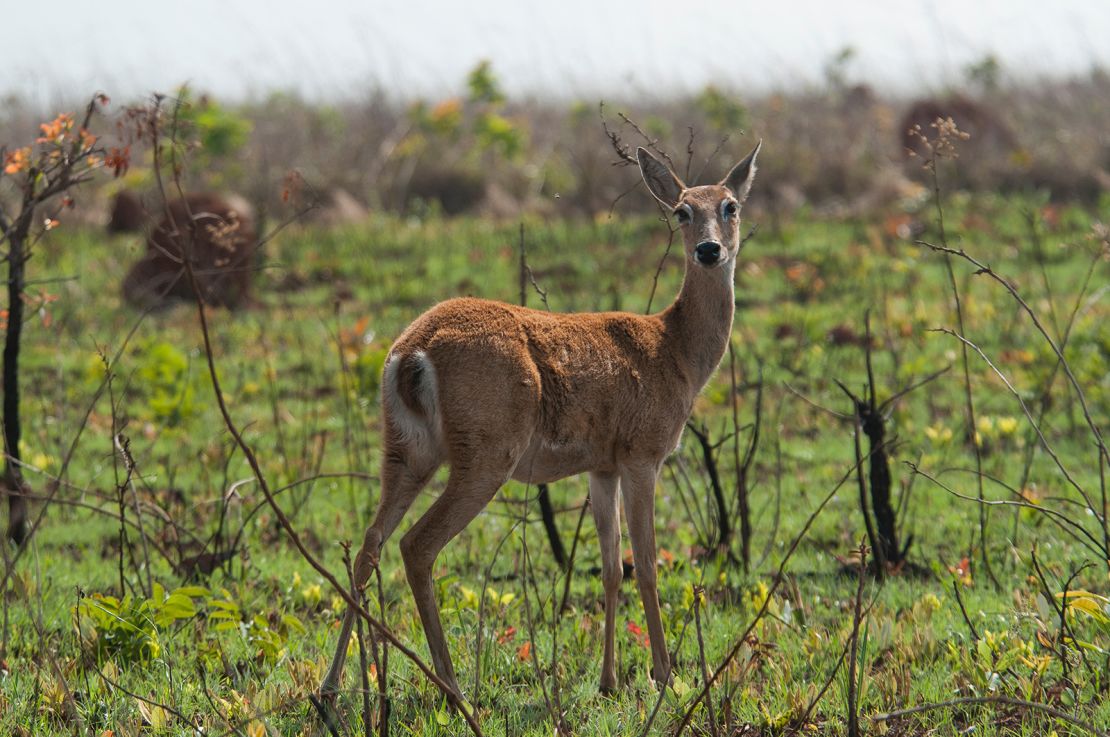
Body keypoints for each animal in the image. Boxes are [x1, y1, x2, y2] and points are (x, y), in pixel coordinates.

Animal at [317, 139, 759, 697]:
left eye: (730, 205)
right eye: (682, 210)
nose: (709, 250)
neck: (674, 351)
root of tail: (411, 353)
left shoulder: (602, 466)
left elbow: (612, 568)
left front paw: (609, 681)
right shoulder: (643, 454)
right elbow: (647, 565)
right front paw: (665, 676)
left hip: (406, 448)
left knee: (369, 542)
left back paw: (332, 684)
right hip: (486, 451)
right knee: (416, 544)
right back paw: (452, 685)